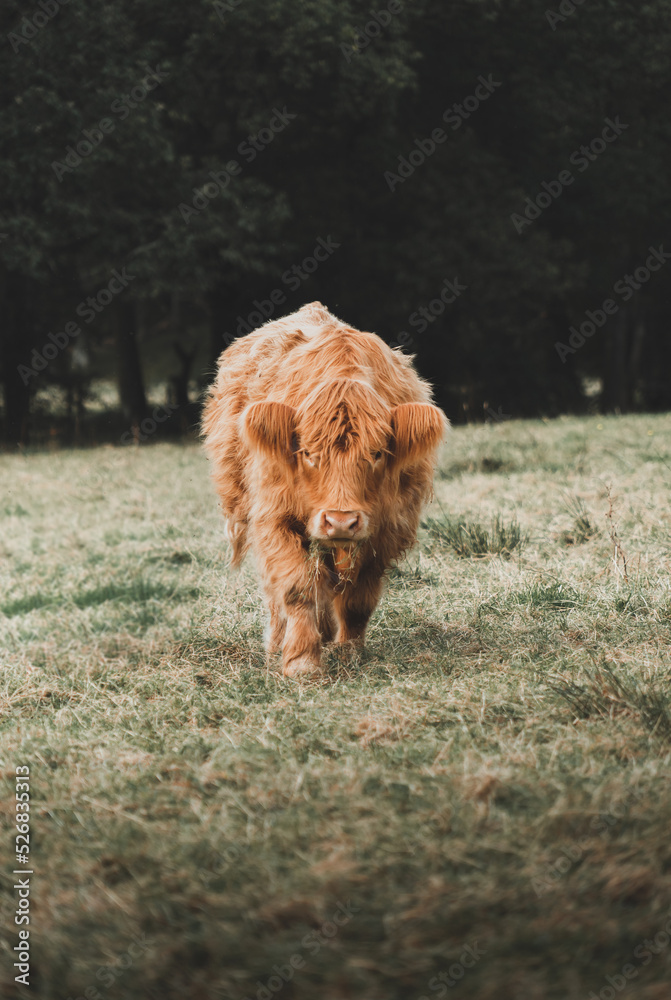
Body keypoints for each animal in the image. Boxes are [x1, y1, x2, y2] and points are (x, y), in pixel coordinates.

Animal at [201, 302, 447, 677]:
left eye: (377, 453)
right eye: (308, 454)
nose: (341, 521)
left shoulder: (387, 530)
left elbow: (359, 598)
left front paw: (349, 652)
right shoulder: (275, 518)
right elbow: (296, 588)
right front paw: (301, 661)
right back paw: (279, 642)